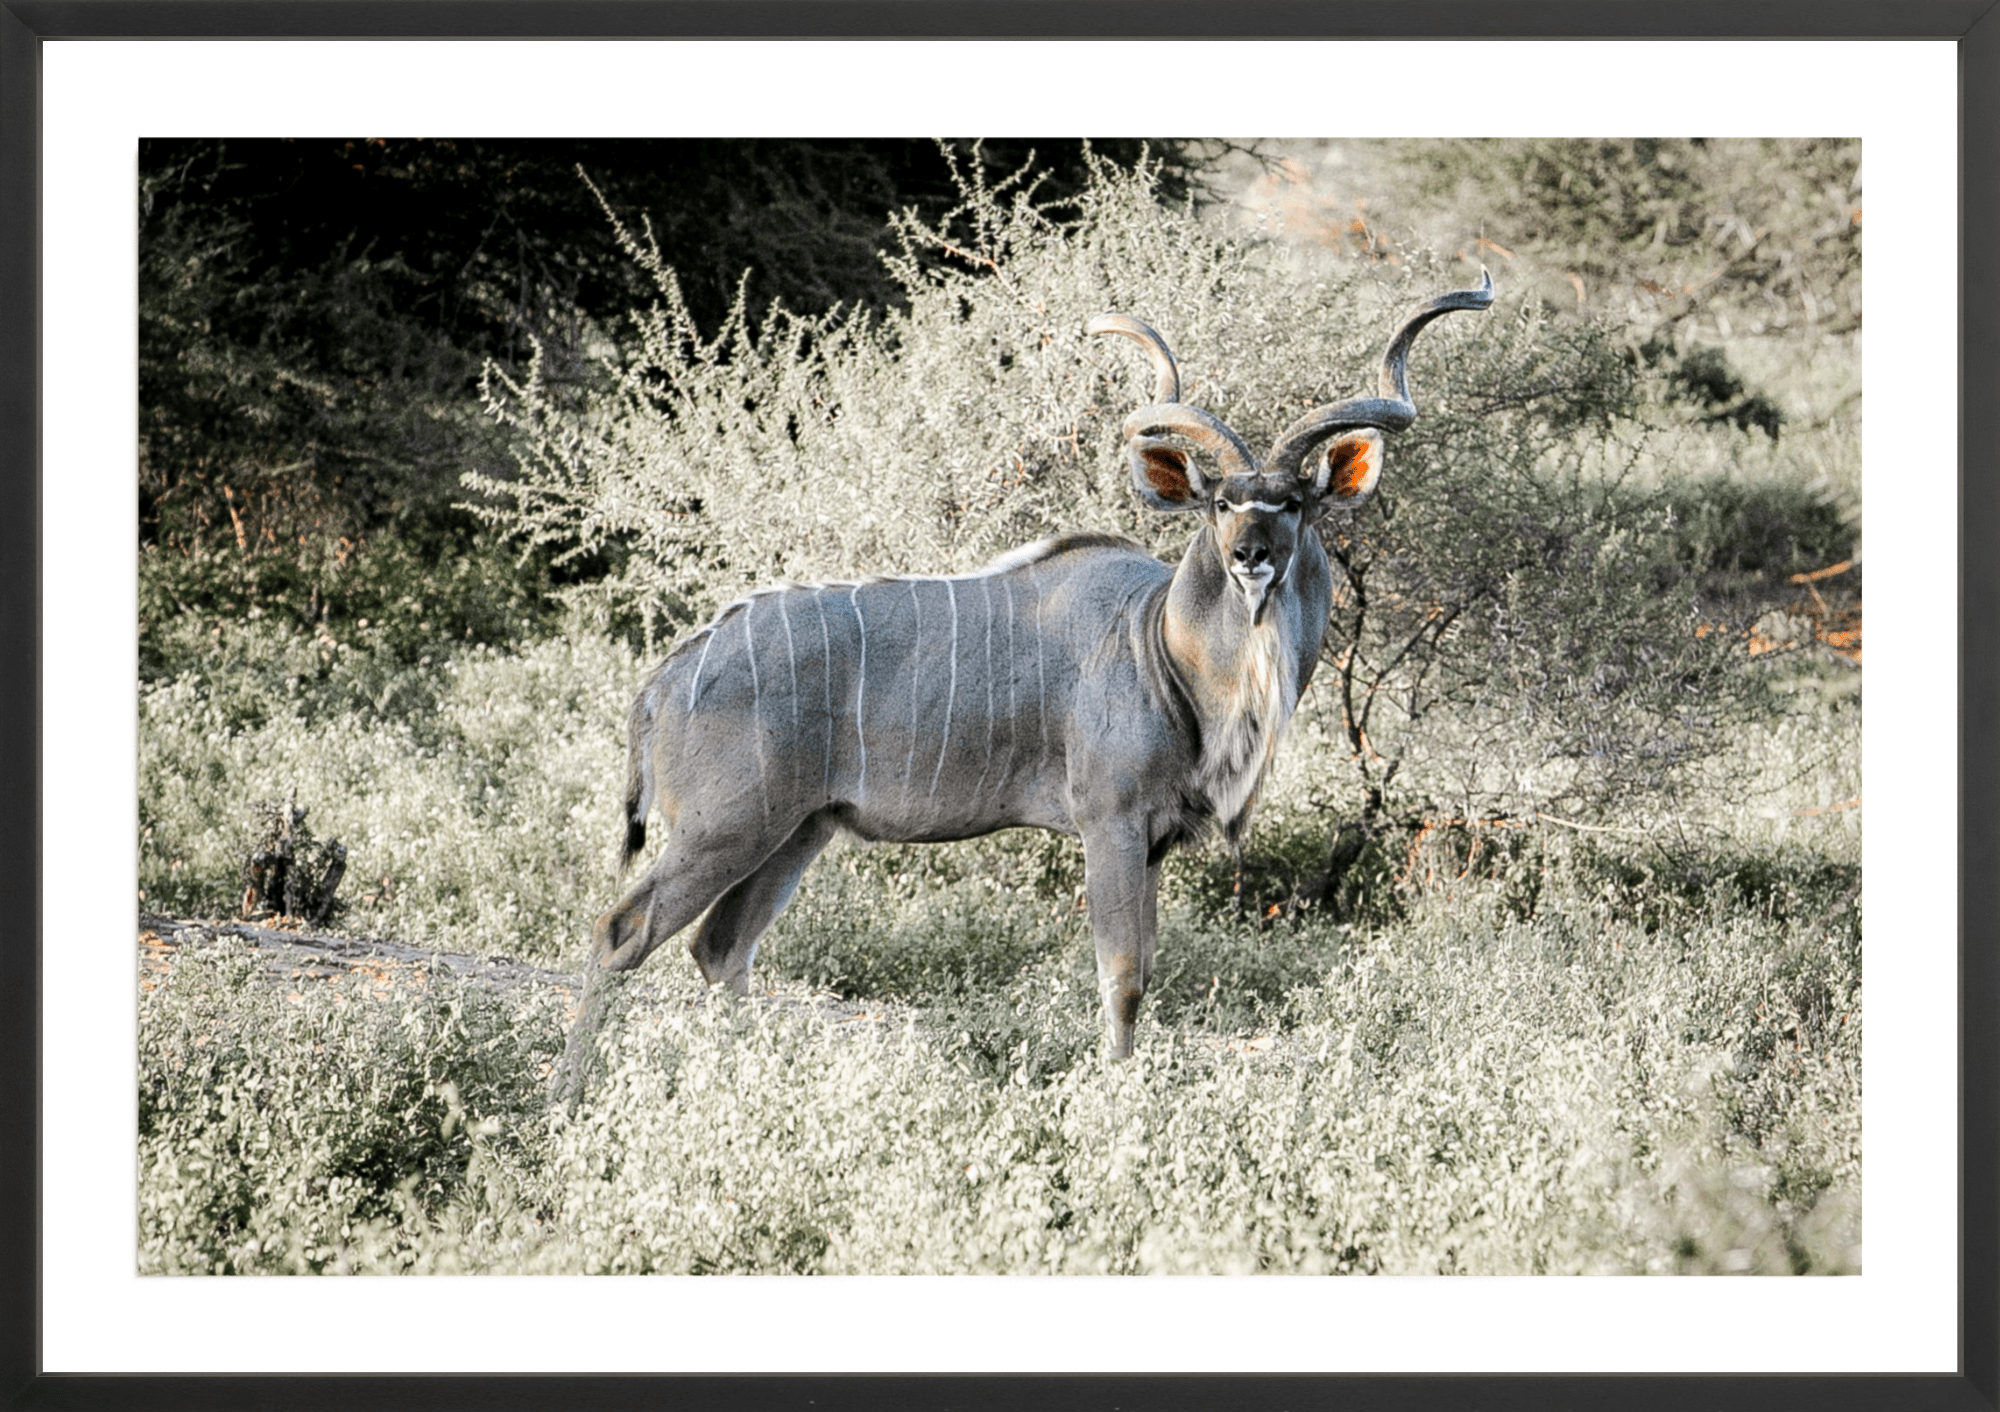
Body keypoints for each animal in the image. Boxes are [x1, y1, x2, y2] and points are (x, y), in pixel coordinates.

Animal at [555, 274, 1493, 1097]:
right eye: (1220, 502)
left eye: (1294, 501)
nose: (1250, 555)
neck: (1165, 649)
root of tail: (667, 676)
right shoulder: (1110, 822)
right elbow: (1123, 975)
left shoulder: (1150, 841)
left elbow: (1144, 966)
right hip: (726, 826)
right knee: (621, 931)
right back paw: (569, 1096)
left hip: (796, 831)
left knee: (722, 950)